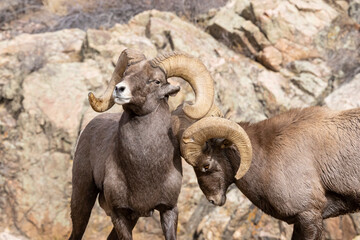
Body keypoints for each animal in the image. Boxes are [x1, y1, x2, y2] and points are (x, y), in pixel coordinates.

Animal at [70, 49, 217, 240]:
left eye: (156, 81)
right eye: (125, 74)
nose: (119, 89)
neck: (144, 169)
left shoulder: (168, 210)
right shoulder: (119, 214)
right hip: (82, 197)